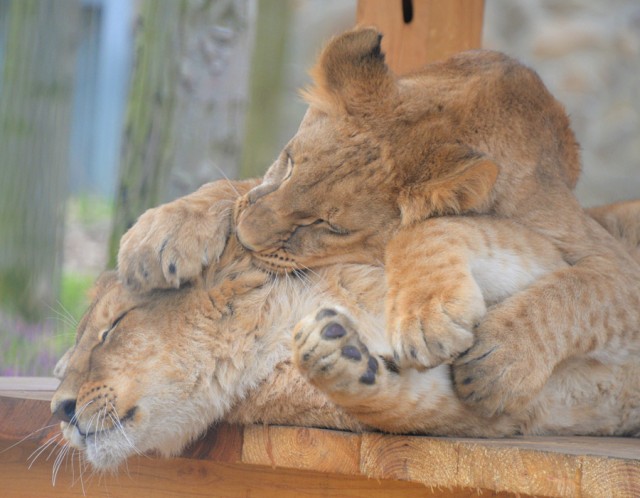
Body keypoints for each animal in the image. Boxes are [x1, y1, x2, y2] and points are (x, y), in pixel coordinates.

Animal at [52, 181, 640, 472]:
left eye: (113, 327)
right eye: (61, 366)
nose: (59, 408)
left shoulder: (569, 255)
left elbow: (428, 233)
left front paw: (455, 332)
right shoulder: (470, 414)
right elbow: (394, 403)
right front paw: (336, 354)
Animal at [118, 28, 640, 419]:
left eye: (330, 227)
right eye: (287, 162)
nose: (244, 242)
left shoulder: (616, 261)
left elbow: (571, 295)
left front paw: (491, 357)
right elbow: (238, 188)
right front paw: (159, 235)